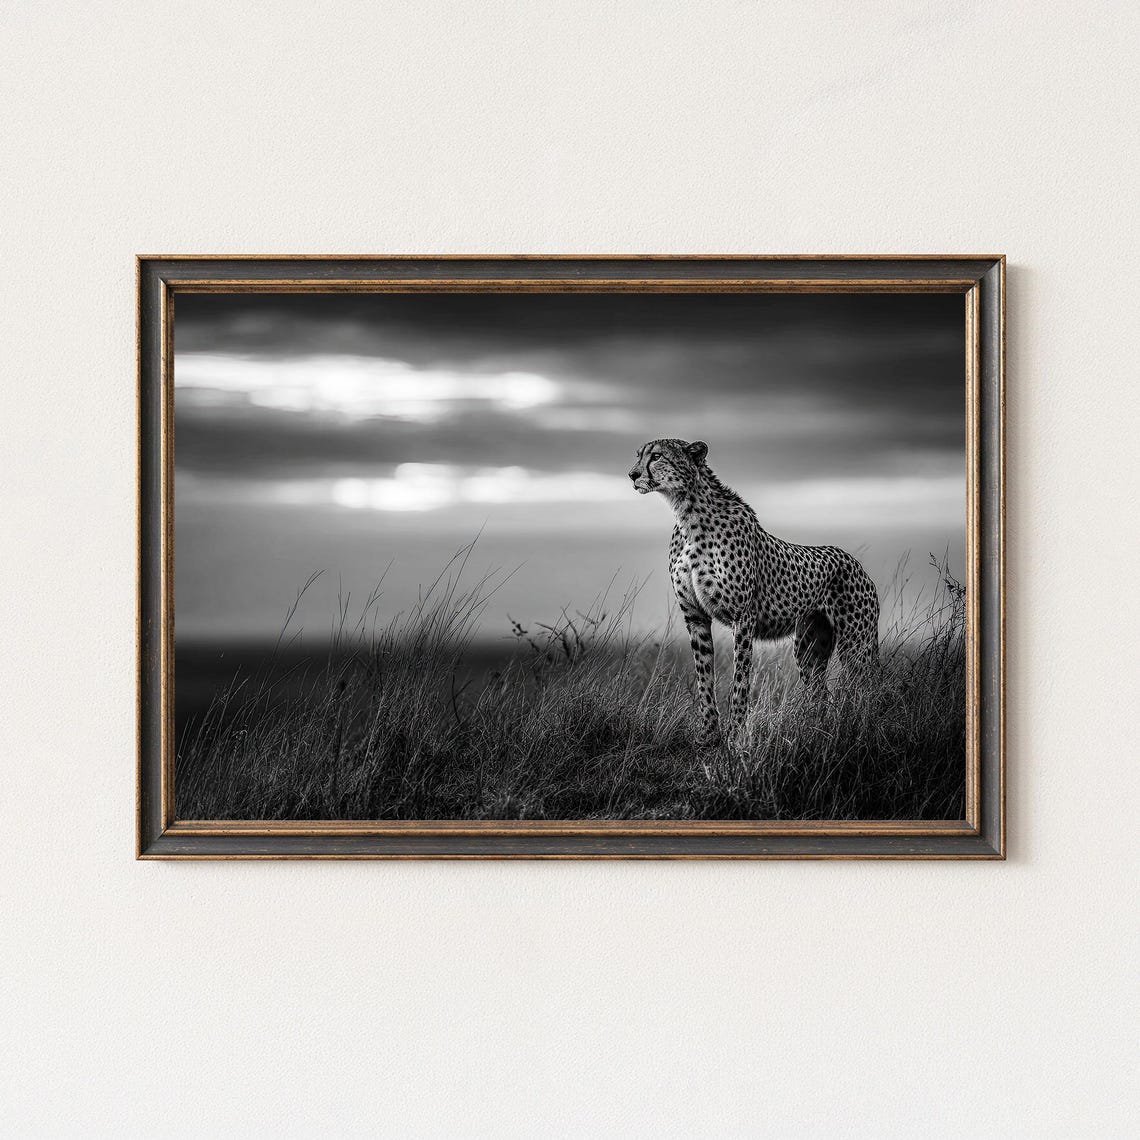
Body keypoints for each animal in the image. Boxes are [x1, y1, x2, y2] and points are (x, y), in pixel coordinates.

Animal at [629, 438, 880, 746]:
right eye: (639, 455)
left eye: (657, 456)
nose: (632, 474)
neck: (687, 514)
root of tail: (856, 563)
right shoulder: (695, 616)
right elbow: (704, 677)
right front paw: (709, 734)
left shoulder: (743, 617)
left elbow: (740, 681)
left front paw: (736, 735)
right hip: (809, 648)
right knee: (820, 692)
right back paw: (817, 732)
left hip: (856, 644)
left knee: (865, 689)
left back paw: (859, 729)